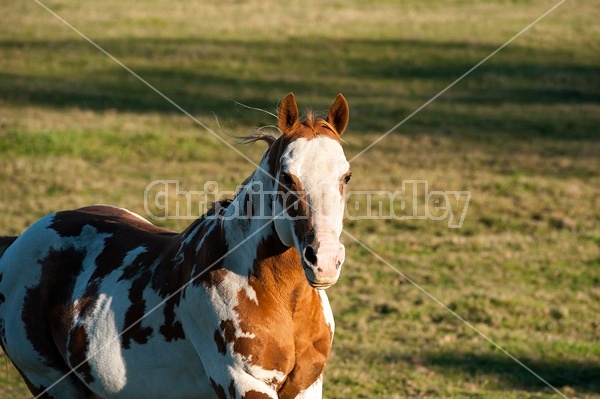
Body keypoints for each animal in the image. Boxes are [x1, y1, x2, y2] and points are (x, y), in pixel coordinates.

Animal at [0, 94, 352, 399]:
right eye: (287, 177)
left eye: (346, 176)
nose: (323, 260)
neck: (276, 295)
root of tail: (16, 245)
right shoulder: (245, 383)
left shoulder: (307, 386)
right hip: (52, 383)